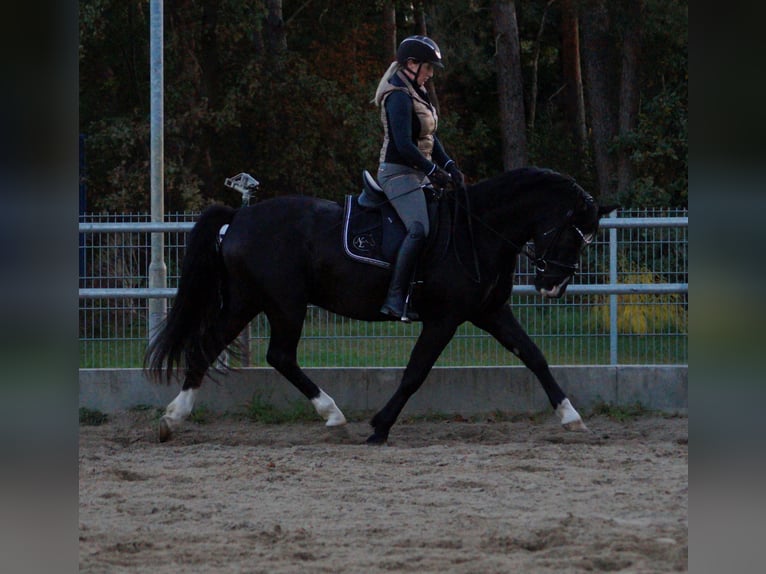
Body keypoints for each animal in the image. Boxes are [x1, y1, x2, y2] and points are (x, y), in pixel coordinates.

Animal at [146, 166, 616, 446]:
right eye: (573, 234)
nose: (553, 286)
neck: (476, 230)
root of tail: (239, 218)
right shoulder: (445, 319)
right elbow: (415, 373)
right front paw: (380, 426)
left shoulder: (490, 313)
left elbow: (534, 356)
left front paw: (571, 416)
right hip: (282, 303)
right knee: (277, 354)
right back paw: (331, 414)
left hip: (248, 302)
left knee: (211, 348)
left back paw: (174, 419)